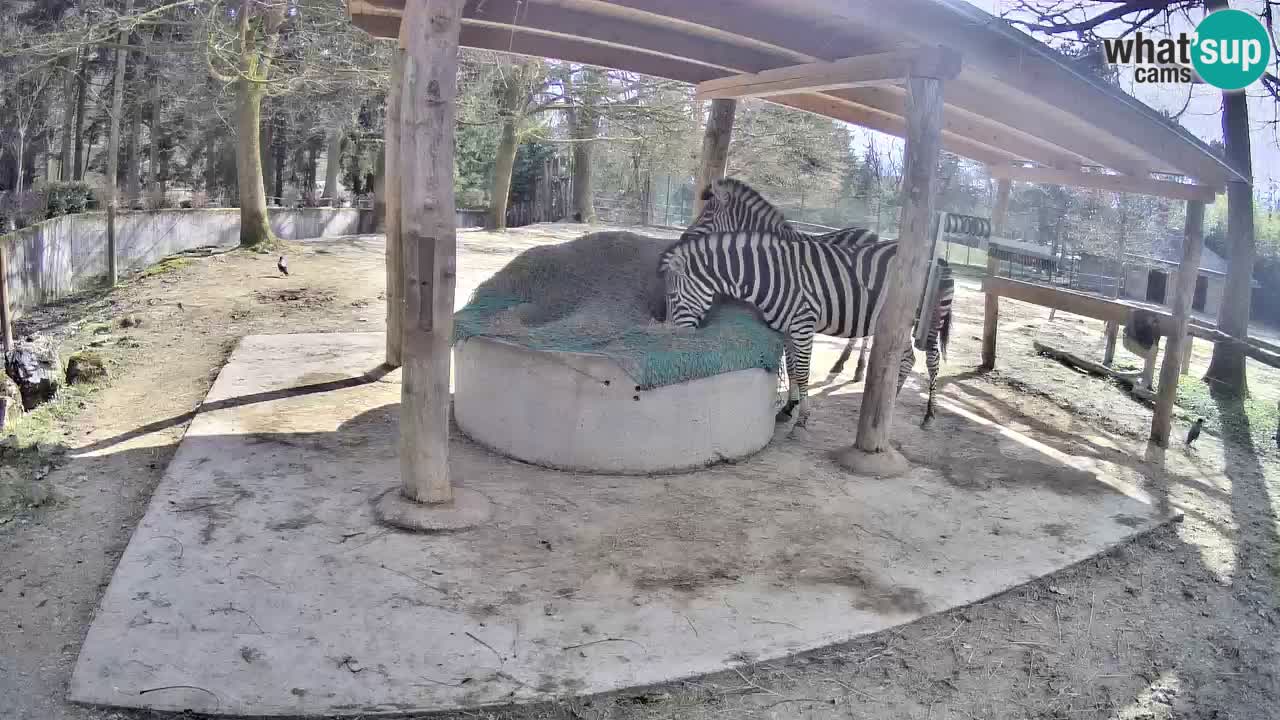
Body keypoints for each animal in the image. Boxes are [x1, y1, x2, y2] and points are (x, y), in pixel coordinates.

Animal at [658, 229, 952, 429]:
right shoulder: (788, 329)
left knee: (932, 361)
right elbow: (791, 369)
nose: (674, 337)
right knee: (907, 359)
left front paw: (803, 417)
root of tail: (936, 261)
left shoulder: (802, 324)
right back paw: (888, 402)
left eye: (672, 296)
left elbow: (802, 371)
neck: (772, 276)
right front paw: (788, 408)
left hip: (924, 322)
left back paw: (929, 415)